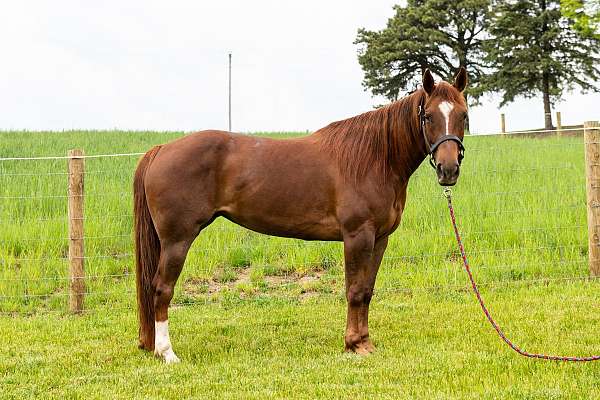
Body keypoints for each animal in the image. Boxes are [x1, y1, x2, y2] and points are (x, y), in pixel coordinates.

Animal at [134, 68, 466, 362]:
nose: (448, 170)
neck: (373, 158)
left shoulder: (380, 239)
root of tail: (161, 149)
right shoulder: (357, 236)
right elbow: (354, 290)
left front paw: (364, 343)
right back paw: (167, 353)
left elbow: (367, 291)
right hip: (177, 240)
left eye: (463, 115)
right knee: (162, 288)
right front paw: (353, 344)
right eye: (428, 116)